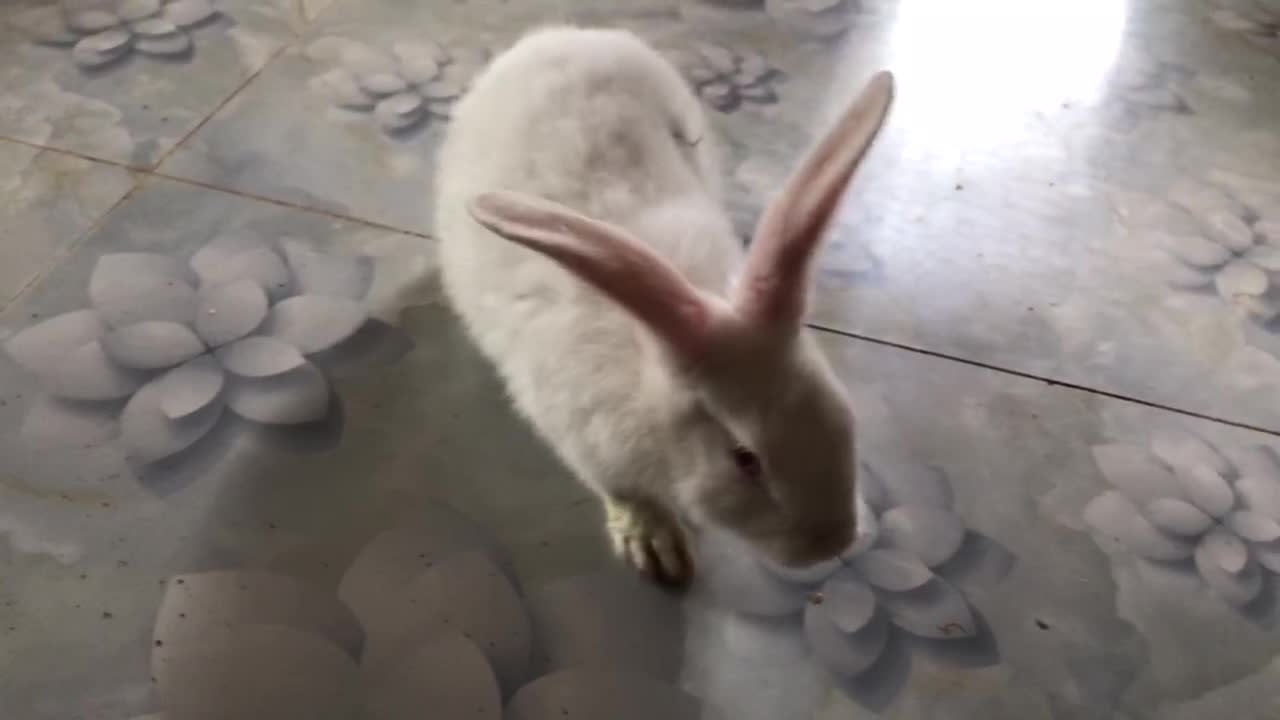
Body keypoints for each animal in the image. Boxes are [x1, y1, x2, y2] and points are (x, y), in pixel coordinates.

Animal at [434, 25, 894, 586]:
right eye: (745, 459)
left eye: (838, 412)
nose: (833, 543)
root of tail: (560, 36)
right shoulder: (590, 446)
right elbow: (628, 497)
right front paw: (654, 548)